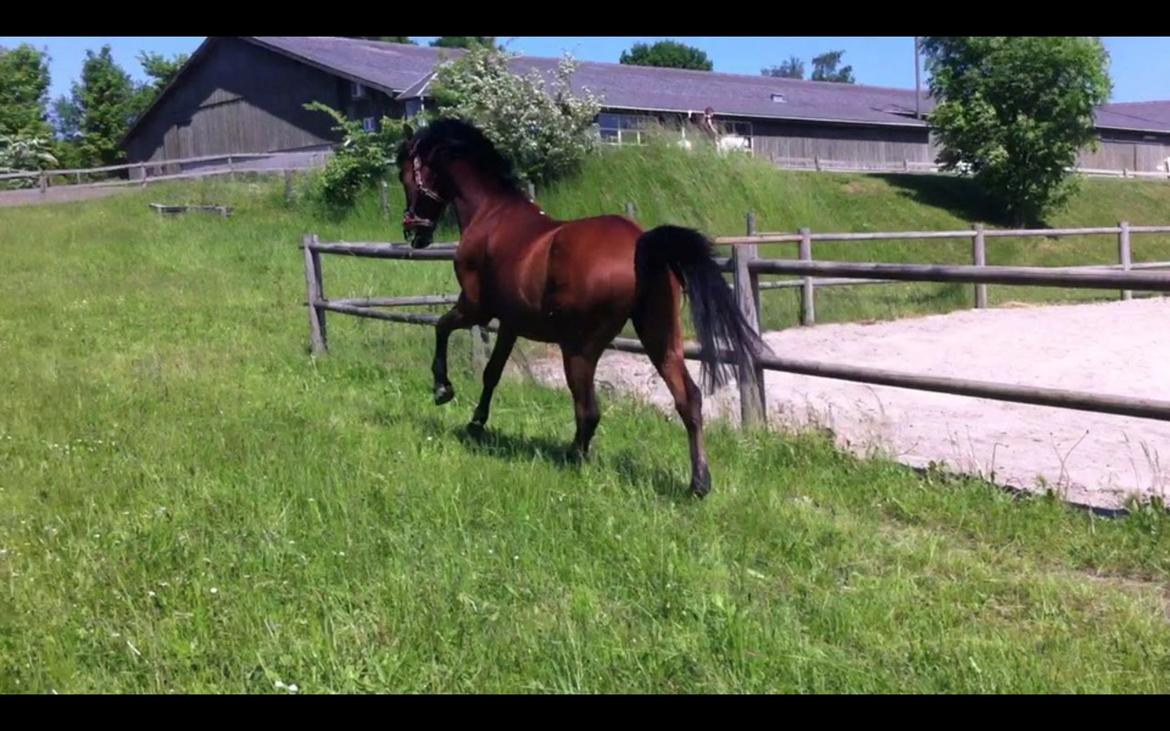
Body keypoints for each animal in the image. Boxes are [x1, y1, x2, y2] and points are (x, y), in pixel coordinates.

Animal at [395, 118, 767, 497]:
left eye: (404, 174)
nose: (413, 231)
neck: (492, 212)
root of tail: (640, 242)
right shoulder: (510, 323)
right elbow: (492, 372)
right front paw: (475, 423)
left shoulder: (475, 308)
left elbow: (441, 327)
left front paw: (443, 389)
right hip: (660, 338)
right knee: (688, 399)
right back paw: (699, 482)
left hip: (579, 347)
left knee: (588, 409)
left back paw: (573, 457)